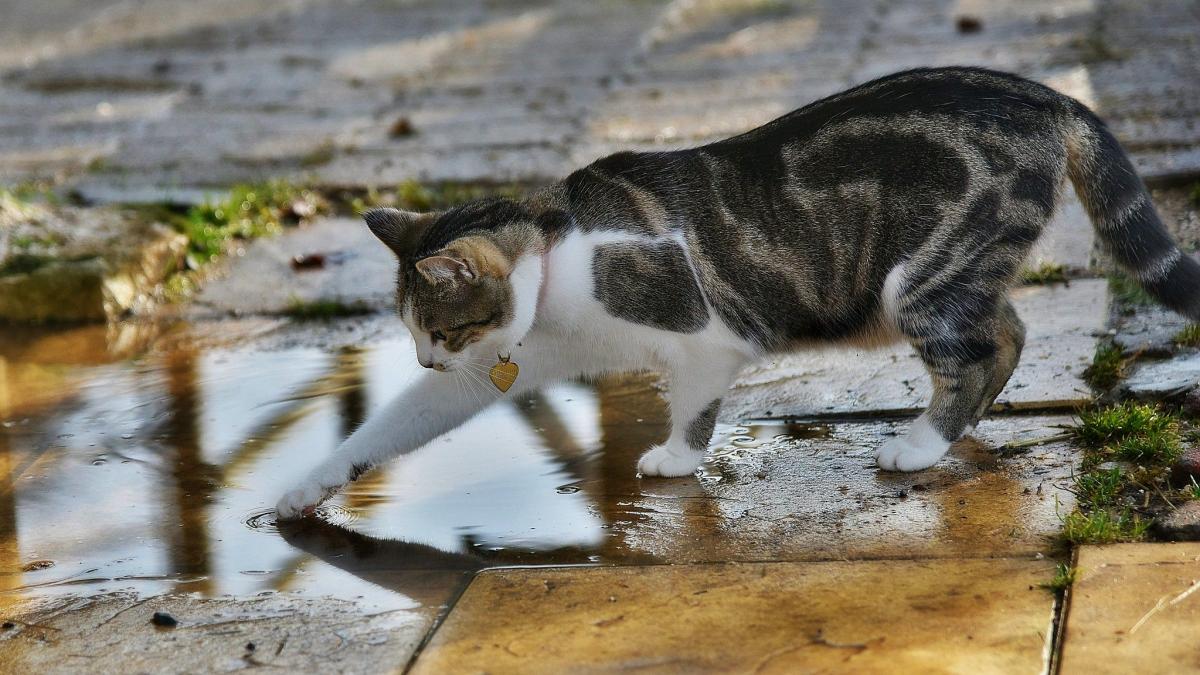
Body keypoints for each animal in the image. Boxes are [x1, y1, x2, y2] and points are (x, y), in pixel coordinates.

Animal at [274, 66, 1200, 514]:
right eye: (416, 336)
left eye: (443, 329)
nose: (426, 361)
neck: (557, 262)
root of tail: (1049, 96)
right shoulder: (508, 366)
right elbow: (390, 428)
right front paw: (300, 491)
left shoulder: (708, 336)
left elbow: (691, 402)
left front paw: (676, 459)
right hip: (958, 272)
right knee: (1007, 331)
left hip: (922, 274)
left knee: (978, 349)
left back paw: (919, 444)